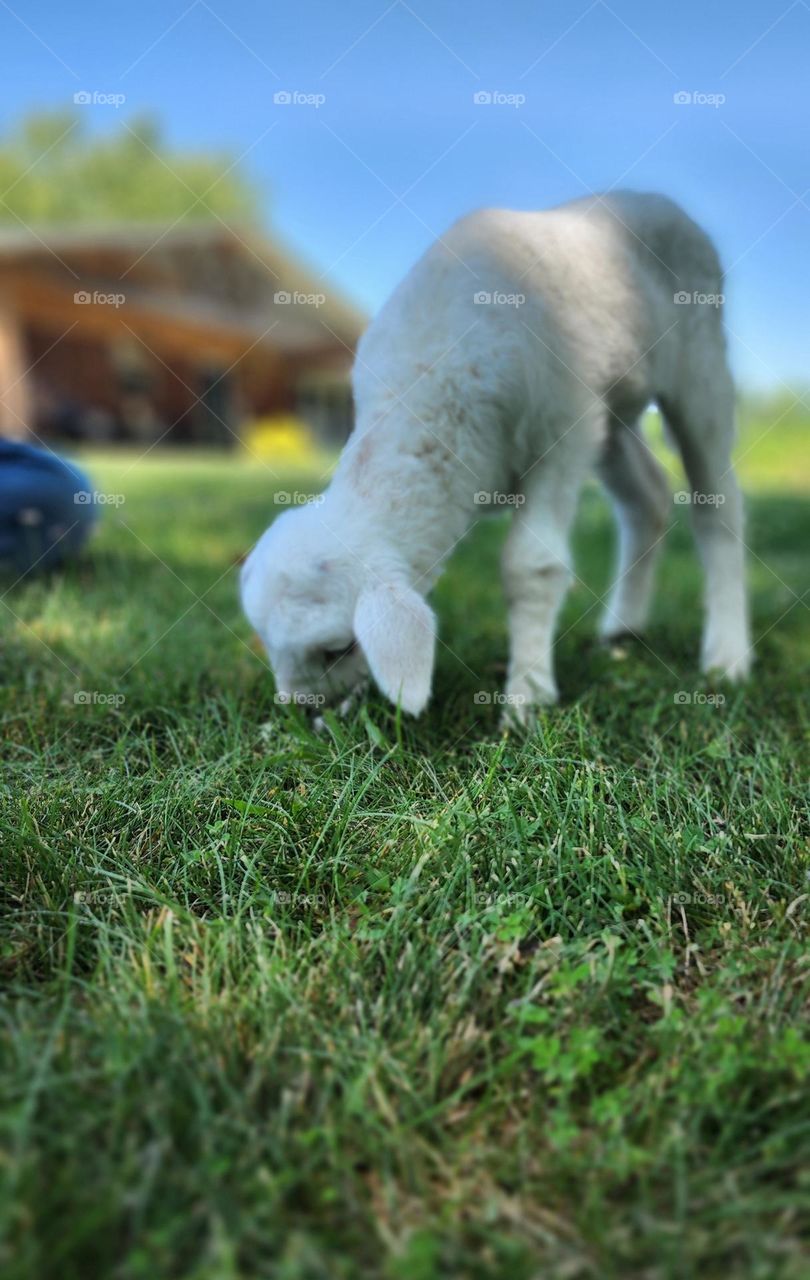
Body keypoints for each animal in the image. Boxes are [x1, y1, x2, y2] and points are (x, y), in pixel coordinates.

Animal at [241, 193, 752, 727]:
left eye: (338, 649)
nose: (304, 714)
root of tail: (659, 198)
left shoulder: (561, 433)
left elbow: (531, 566)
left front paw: (526, 699)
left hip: (699, 367)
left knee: (719, 504)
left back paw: (727, 656)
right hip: (609, 417)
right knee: (648, 497)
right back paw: (622, 628)